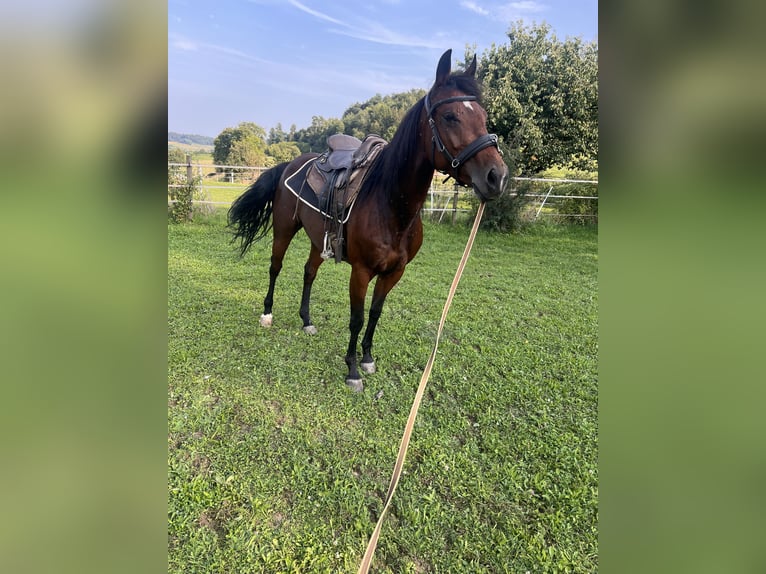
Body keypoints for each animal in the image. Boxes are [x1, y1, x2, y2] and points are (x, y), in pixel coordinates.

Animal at [228, 49, 508, 392]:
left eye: (482, 115)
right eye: (450, 117)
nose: (496, 176)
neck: (391, 207)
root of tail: (290, 164)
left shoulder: (394, 272)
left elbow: (375, 314)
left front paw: (367, 358)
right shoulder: (360, 272)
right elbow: (357, 318)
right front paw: (351, 370)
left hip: (318, 239)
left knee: (308, 272)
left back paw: (306, 321)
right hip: (284, 229)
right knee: (275, 267)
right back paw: (267, 315)